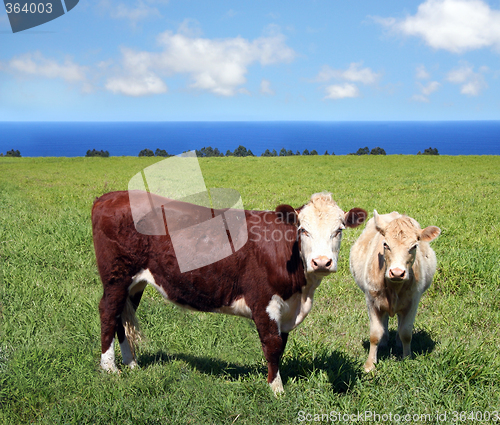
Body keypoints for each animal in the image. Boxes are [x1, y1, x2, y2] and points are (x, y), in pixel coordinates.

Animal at [93, 190, 368, 392]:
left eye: (339, 230)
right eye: (303, 230)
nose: (321, 262)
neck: (302, 293)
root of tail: (110, 196)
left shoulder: (287, 308)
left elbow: (281, 345)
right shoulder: (264, 301)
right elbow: (272, 344)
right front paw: (276, 389)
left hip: (134, 284)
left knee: (120, 319)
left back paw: (131, 364)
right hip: (116, 277)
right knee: (108, 311)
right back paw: (109, 368)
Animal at [350, 211, 440, 372]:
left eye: (414, 246)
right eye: (386, 244)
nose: (397, 272)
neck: (394, 287)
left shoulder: (413, 301)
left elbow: (406, 333)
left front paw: (407, 358)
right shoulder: (371, 301)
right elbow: (375, 334)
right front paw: (369, 365)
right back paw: (384, 342)